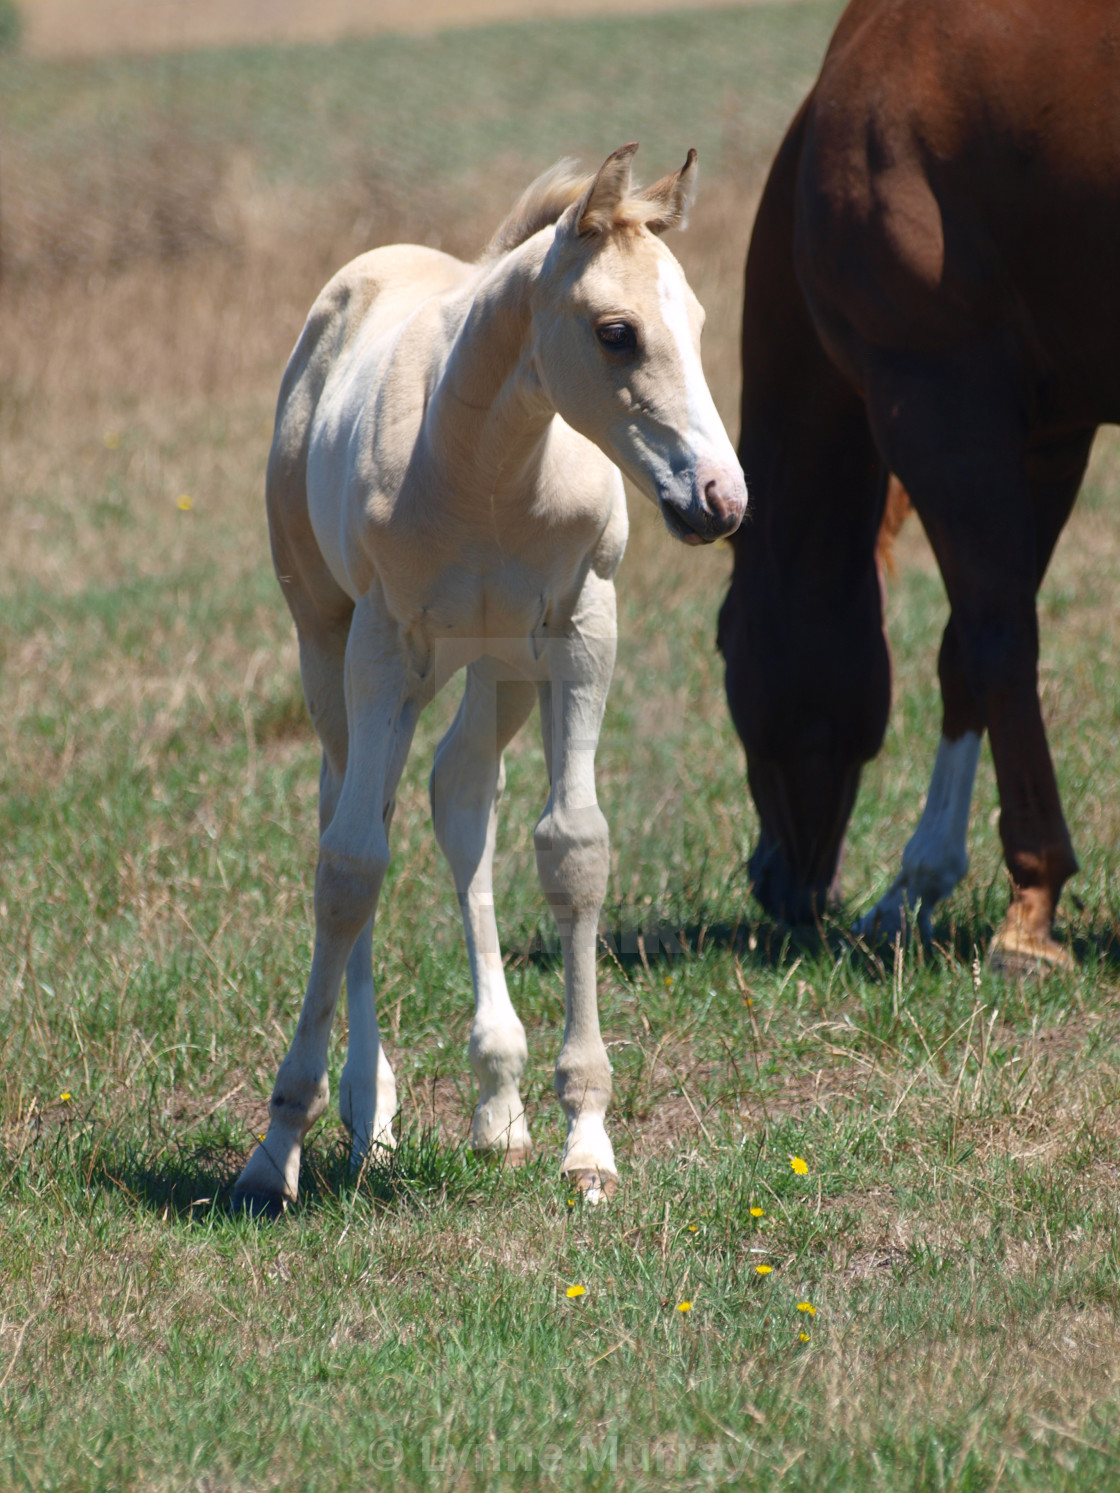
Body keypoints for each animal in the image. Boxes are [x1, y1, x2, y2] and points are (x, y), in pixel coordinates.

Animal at [234, 142, 746, 1212]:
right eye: (616, 332)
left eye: (697, 320)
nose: (721, 499)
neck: (486, 464)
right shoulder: (382, 644)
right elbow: (350, 868)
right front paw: (277, 1145)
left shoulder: (583, 630)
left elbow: (573, 849)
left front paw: (586, 1137)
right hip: (328, 643)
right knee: (356, 810)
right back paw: (369, 1108)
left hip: (501, 666)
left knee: (460, 792)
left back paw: (498, 1101)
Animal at [719, 0, 1120, 967]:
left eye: (722, 639)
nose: (775, 882)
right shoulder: (1049, 436)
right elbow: (962, 655)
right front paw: (914, 886)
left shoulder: (936, 398)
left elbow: (995, 637)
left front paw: (1029, 906)